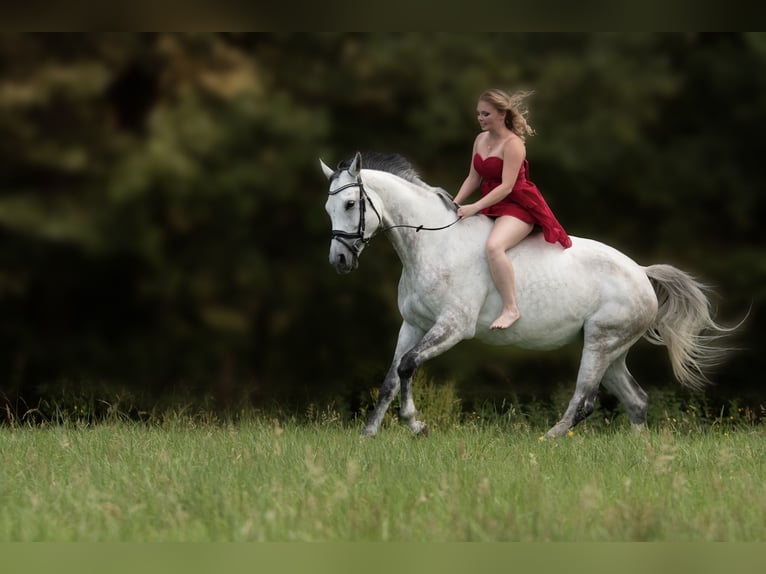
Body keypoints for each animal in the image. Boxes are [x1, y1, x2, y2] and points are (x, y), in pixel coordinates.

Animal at [320, 151, 736, 438]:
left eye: (351, 204)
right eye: (328, 207)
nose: (339, 260)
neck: (433, 243)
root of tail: (642, 273)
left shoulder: (453, 326)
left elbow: (408, 366)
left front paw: (416, 426)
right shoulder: (413, 325)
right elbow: (391, 378)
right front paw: (368, 436)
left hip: (601, 343)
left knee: (584, 400)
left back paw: (547, 440)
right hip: (613, 350)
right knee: (636, 400)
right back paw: (640, 450)